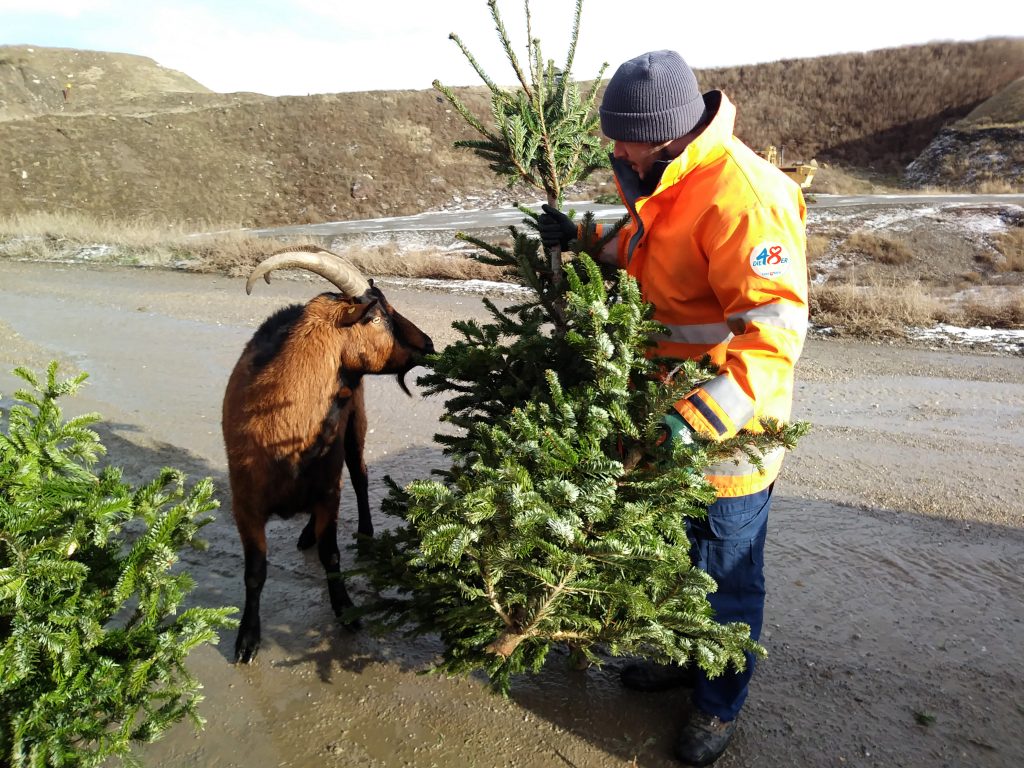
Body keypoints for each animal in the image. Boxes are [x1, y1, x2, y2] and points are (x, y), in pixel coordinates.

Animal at [222, 244, 434, 663]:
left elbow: (332, 556)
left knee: (361, 474)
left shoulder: (327, 491)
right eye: (378, 316)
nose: (429, 343)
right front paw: (247, 640)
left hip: (354, 426)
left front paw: (346, 611)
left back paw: (365, 534)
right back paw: (307, 533)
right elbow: (255, 572)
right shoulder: (245, 504)